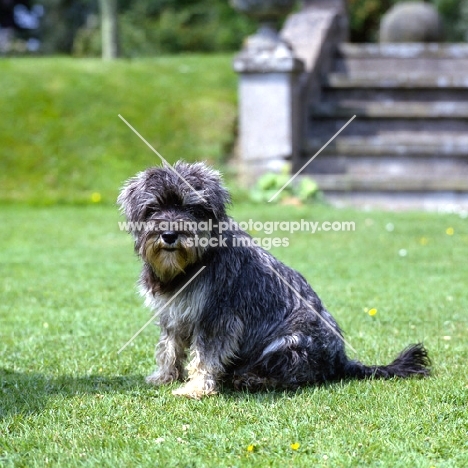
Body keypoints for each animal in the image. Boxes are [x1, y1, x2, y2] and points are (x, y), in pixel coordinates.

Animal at [118, 161, 432, 398]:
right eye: (153, 209)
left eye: (191, 208)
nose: (170, 234)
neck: (189, 265)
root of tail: (342, 360)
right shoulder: (173, 315)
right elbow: (169, 348)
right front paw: (164, 376)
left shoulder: (218, 318)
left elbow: (206, 356)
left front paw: (194, 388)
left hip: (289, 340)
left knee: (294, 375)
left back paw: (252, 379)